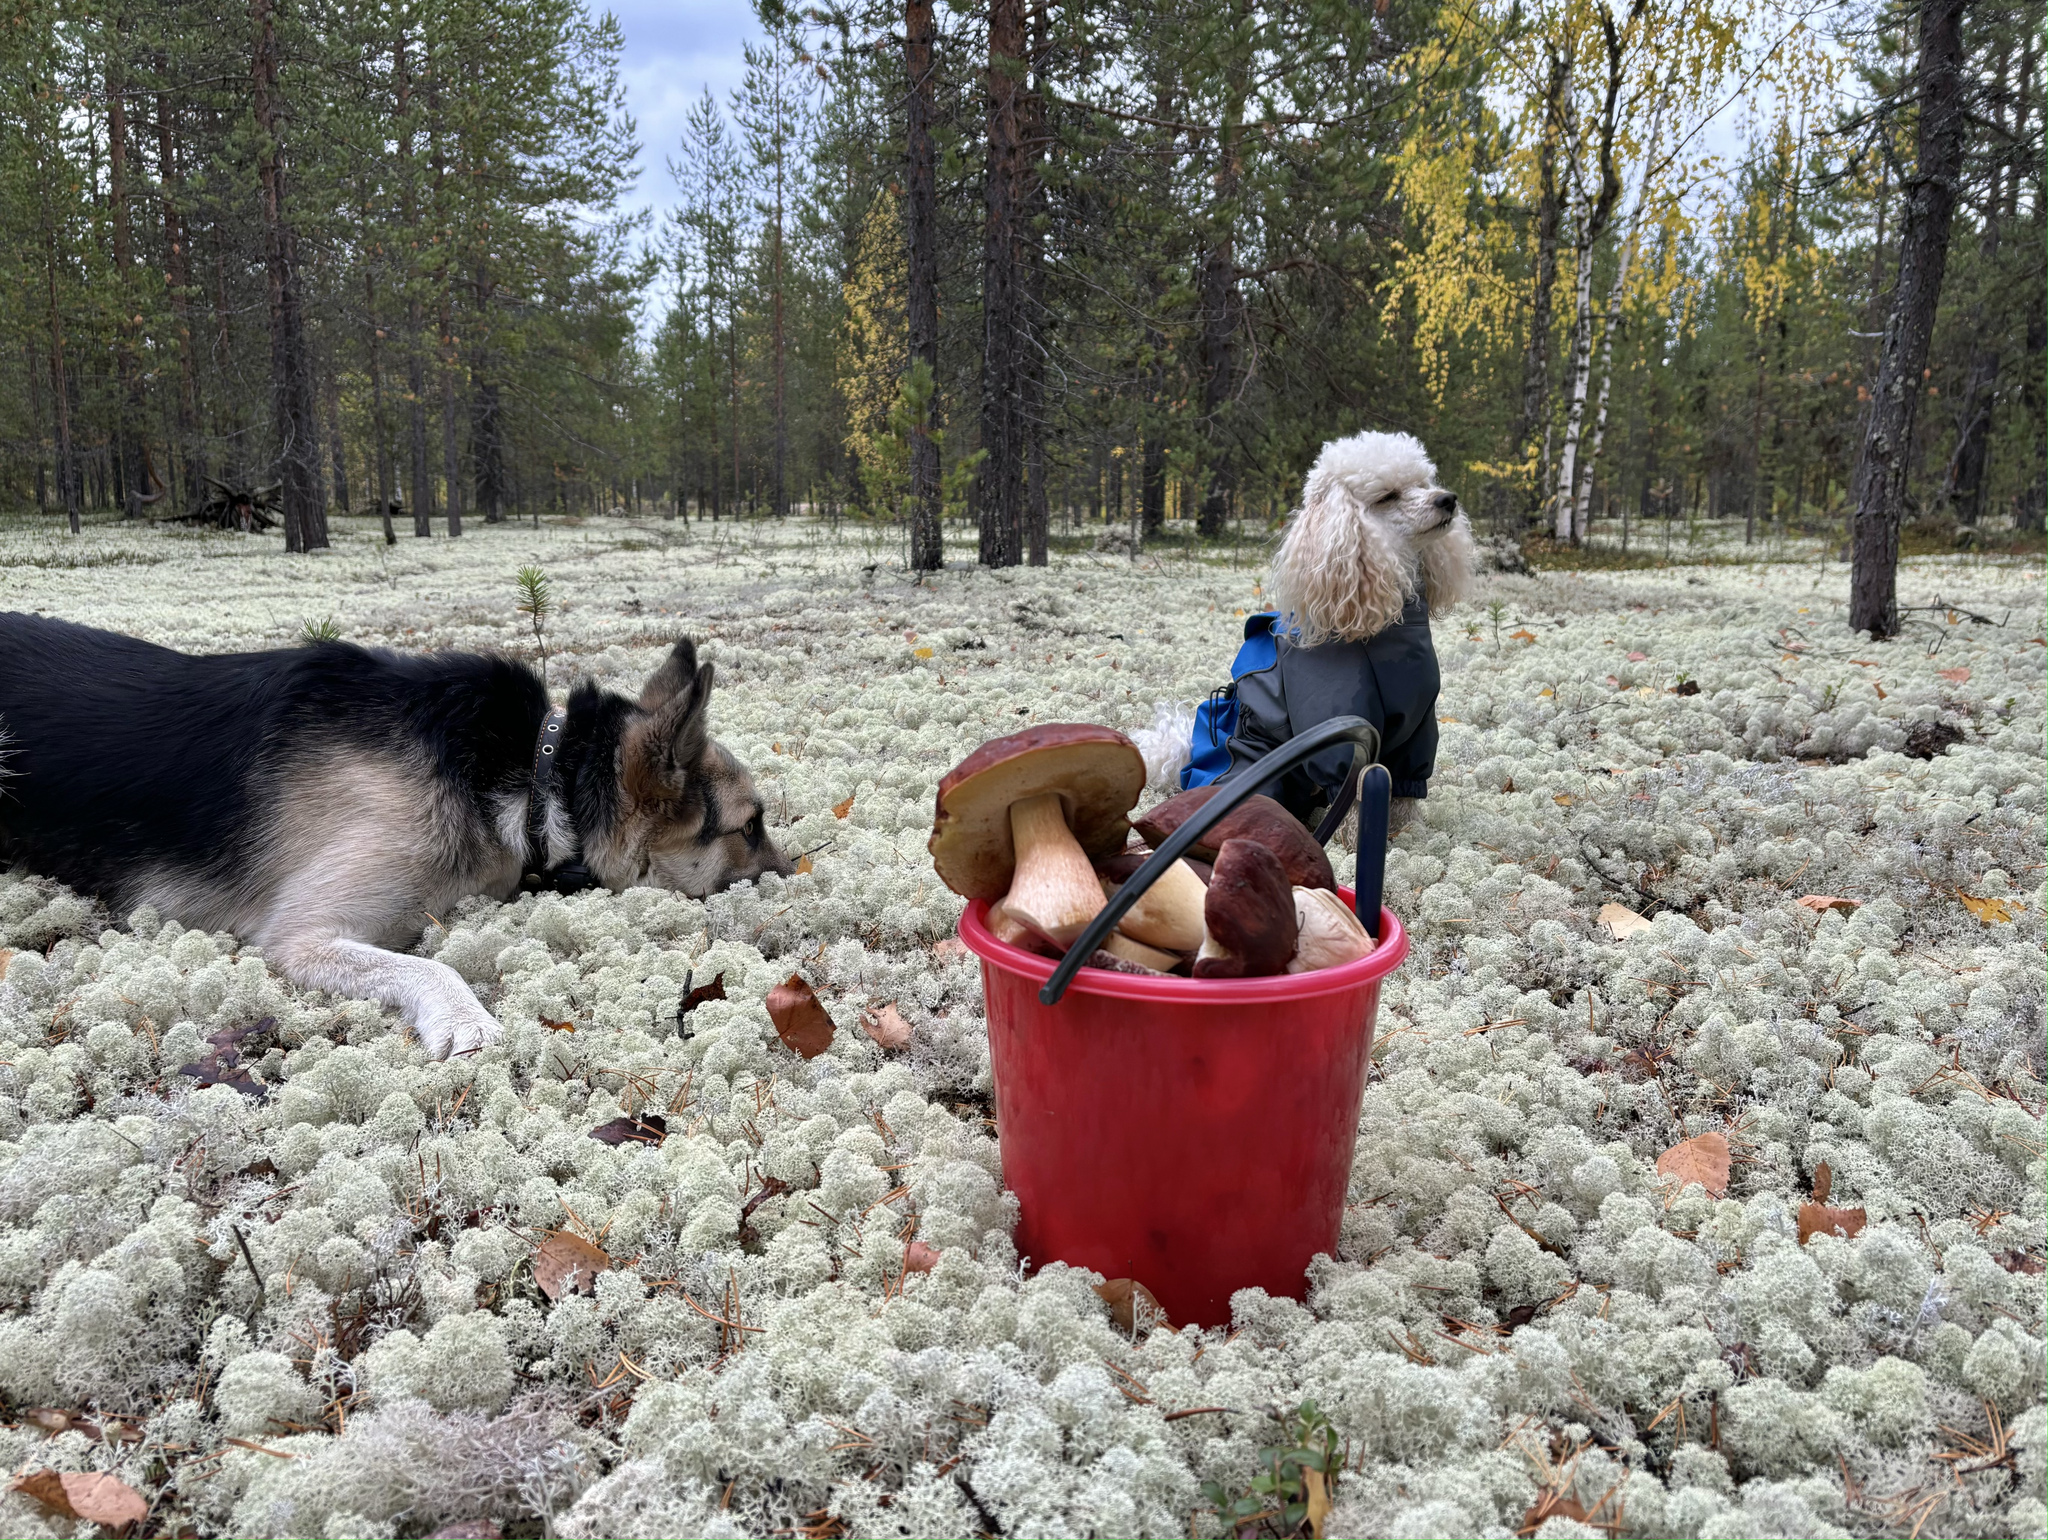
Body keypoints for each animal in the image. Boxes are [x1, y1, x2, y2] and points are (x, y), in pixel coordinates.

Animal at [0, 614, 790, 1056]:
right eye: (750, 826)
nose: (796, 876)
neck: (538, 776)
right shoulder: (303, 935)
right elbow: (431, 968)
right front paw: (468, 1022)